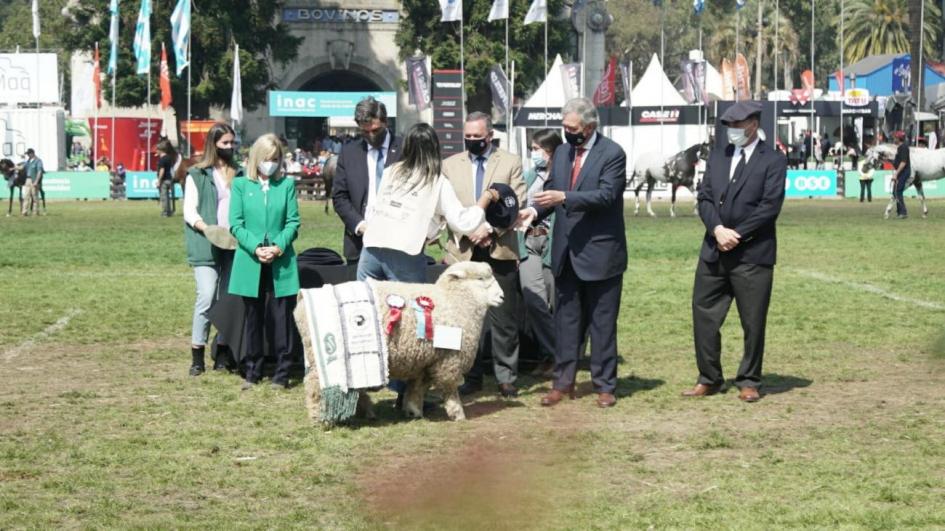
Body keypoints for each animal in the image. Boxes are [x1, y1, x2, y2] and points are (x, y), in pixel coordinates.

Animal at [296, 260, 506, 426]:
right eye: (480, 279)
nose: (502, 297)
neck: (454, 301)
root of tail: (301, 301)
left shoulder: (425, 360)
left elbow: (418, 387)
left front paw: (413, 410)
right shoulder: (448, 359)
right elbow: (449, 388)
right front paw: (457, 413)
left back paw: (367, 411)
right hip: (322, 358)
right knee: (313, 384)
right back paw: (319, 419)